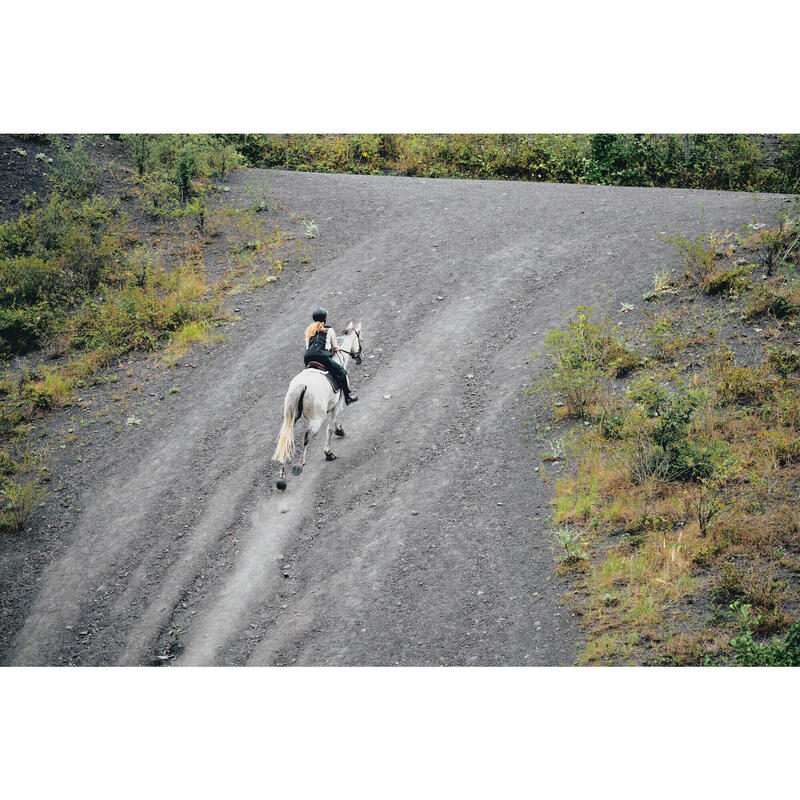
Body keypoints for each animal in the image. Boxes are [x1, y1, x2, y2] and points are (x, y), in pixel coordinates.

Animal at [274, 324, 364, 488]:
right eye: (360, 339)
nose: (360, 357)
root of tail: (302, 385)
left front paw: (339, 430)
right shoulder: (337, 403)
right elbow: (330, 427)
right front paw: (329, 451)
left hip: (291, 418)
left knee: (286, 439)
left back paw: (282, 479)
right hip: (316, 419)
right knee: (306, 438)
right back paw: (299, 466)